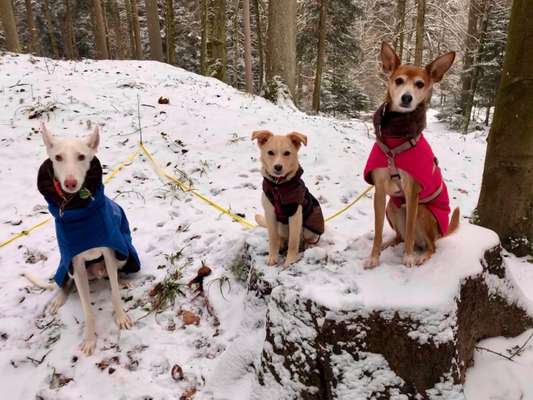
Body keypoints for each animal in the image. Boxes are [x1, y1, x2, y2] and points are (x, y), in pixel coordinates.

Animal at [250, 131, 322, 268]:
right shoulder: (270, 213)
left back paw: (308, 245)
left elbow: (293, 242)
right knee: (281, 239)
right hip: (279, 226)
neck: (278, 186)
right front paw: (272, 257)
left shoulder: (295, 214)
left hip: (308, 228)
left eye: (287, 153)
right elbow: (273, 239)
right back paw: (281, 244)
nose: (278, 167)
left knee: (304, 239)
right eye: (270, 152)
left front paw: (290, 261)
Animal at [364, 42, 460, 268]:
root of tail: (440, 234)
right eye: (398, 80)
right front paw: (374, 256)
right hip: (392, 205)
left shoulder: (412, 192)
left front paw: (407, 257)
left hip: (423, 211)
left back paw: (421, 255)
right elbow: (378, 231)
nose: (406, 98)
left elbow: (408, 231)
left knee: (430, 246)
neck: (396, 136)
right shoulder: (379, 191)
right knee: (399, 236)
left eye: (419, 84)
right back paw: (388, 245)